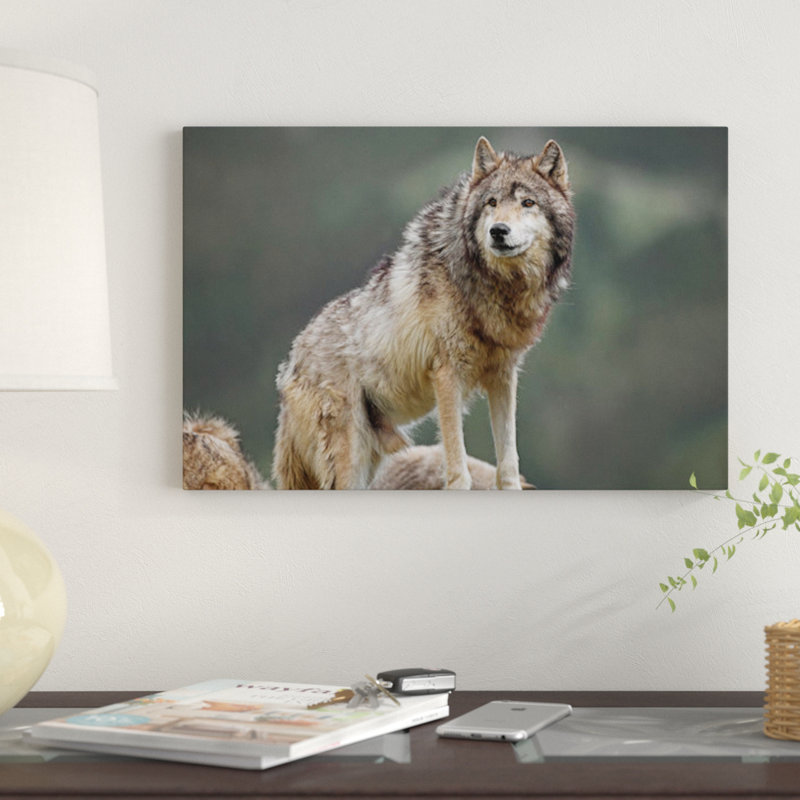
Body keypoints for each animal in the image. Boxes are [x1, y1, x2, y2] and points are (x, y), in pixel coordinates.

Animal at [273, 136, 575, 490]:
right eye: (492, 202)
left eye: (528, 203)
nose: (498, 231)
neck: (493, 286)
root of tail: (292, 361)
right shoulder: (447, 375)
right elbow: (458, 468)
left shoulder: (503, 378)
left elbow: (508, 464)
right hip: (349, 460)